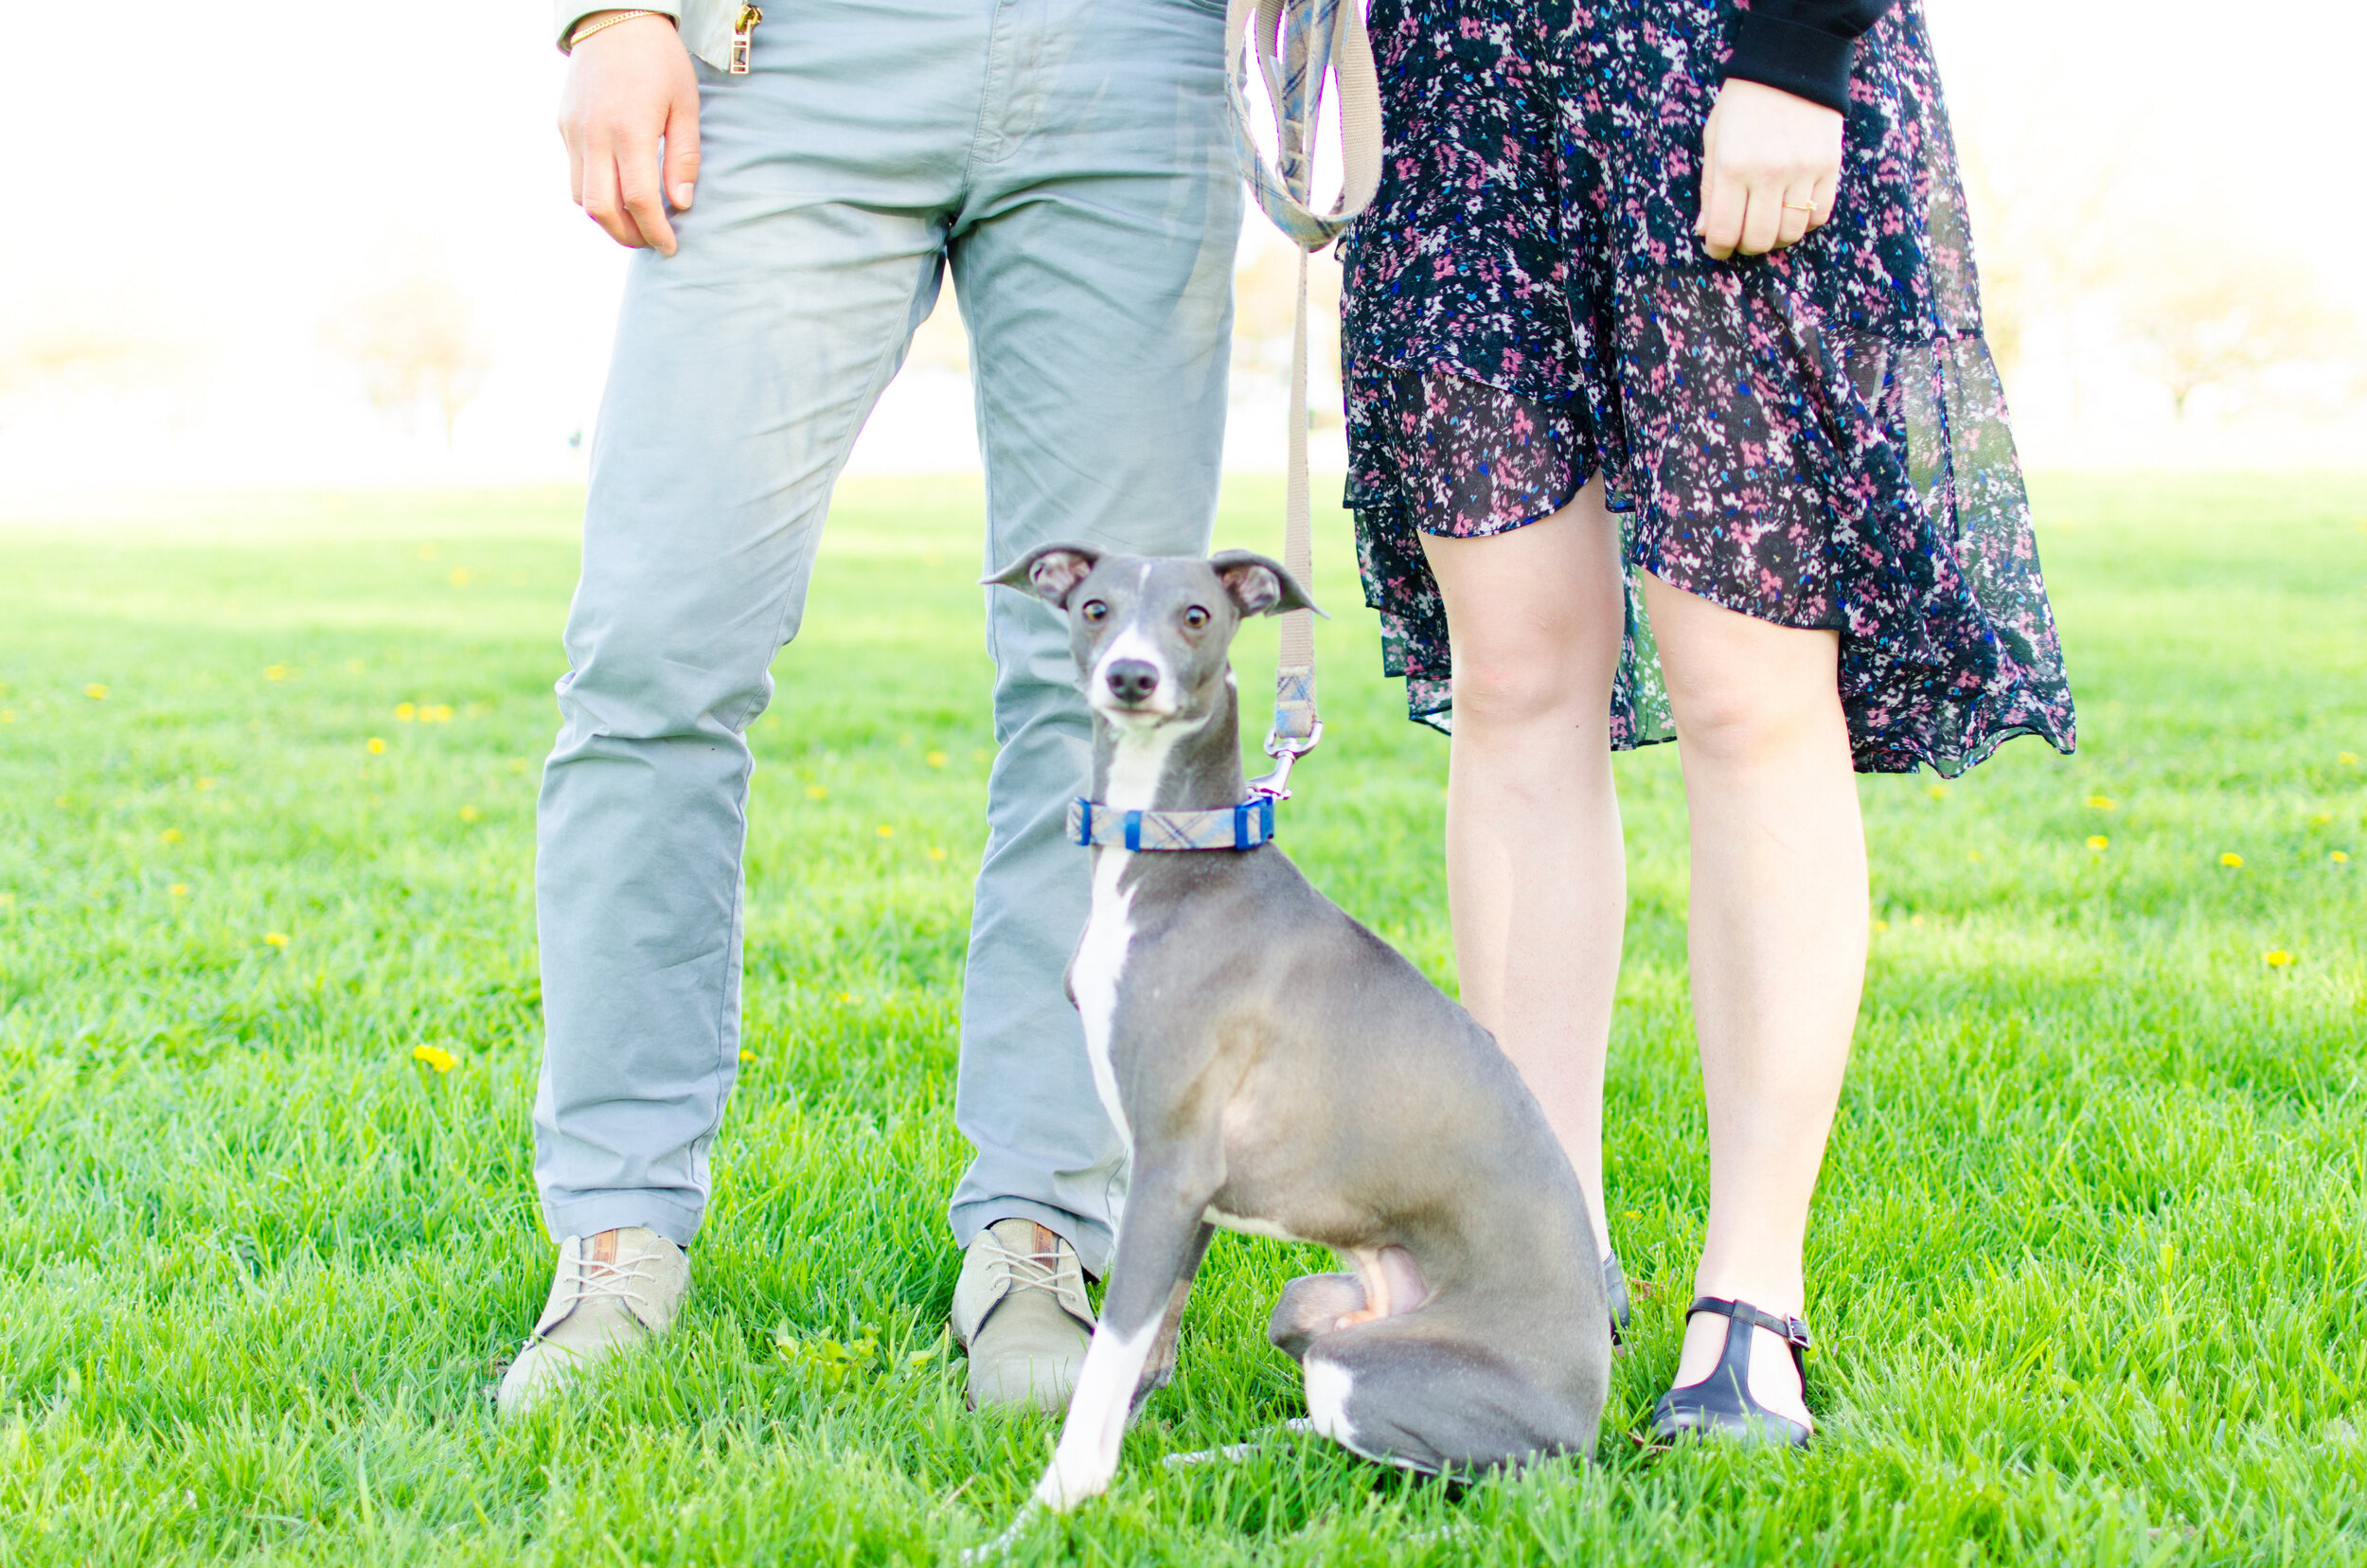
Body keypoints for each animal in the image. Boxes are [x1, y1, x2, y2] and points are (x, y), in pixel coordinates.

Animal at [980, 544, 1610, 1515]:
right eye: (1094, 607)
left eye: (1196, 615)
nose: (1132, 676)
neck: (1179, 854)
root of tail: (1590, 1426)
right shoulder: (1189, 1197)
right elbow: (1144, 1362)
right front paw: (1120, 1485)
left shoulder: (1169, 1172)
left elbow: (1106, 1369)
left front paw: (1050, 1512)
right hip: (1307, 1304)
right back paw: (1210, 1460)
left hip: (1370, 1371)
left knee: (1420, 1465)